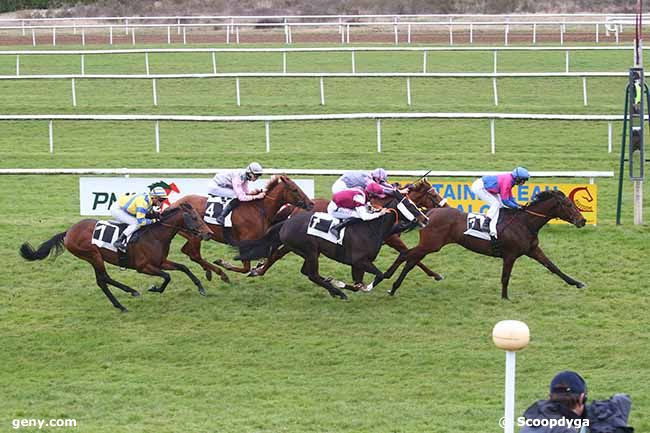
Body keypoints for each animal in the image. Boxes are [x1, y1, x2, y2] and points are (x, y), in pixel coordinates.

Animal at [19, 204, 213, 312]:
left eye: (200, 216)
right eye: (194, 217)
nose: (209, 233)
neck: (156, 236)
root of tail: (68, 232)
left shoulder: (161, 262)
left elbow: (183, 267)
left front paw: (201, 287)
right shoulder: (143, 267)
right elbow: (167, 277)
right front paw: (155, 288)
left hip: (93, 258)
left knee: (102, 280)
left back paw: (122, 301)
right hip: (93, 255)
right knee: (103, 278)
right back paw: (128, 295)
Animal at [171, 174, 312, 282]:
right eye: (295, 189)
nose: (311, 203)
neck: (259, 209)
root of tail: (175, 204)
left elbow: (265, 256)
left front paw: (257, 267)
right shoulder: (244, 242)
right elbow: (246, 267)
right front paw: (224, 264)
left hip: (193, 235)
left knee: (188, 251)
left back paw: (208, 271)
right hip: (196, 234)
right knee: (194, 255)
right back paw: (220, 273)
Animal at [235, 193, 428, 300]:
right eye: (410, 204)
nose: (425, 219)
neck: (371, 228)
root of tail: (286, 223)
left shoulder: (357, 264)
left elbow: (359, 282)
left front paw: (345, 285)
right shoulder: (360, 260)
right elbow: (378, 276)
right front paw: (347, 286)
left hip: (308, 252)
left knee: (308, 272)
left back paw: (333, 289)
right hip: (310, 251)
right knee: (312, 274)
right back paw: (337, 292)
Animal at [246, 178, 448, 276]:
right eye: (433, 194)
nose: (445, 205)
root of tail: (295, 208)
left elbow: (408, 253)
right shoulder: (391, 238)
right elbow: (409, 253)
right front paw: (435, 274)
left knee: (276, 253)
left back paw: (259, 268)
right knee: (276, 254)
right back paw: (258, 269)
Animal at [382, 191, 584, 298]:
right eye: (568, 205)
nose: (582, 221)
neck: (525, 223)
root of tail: (429, 213)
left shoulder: (533, 249)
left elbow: (553, 267)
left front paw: (577, 283)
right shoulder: (510, 255)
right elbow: (505, 277)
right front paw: (505, 298)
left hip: (429, 245)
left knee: (409, 258)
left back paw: (391, 284)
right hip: (431, 244)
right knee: (407, 256)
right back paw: (387, 281)